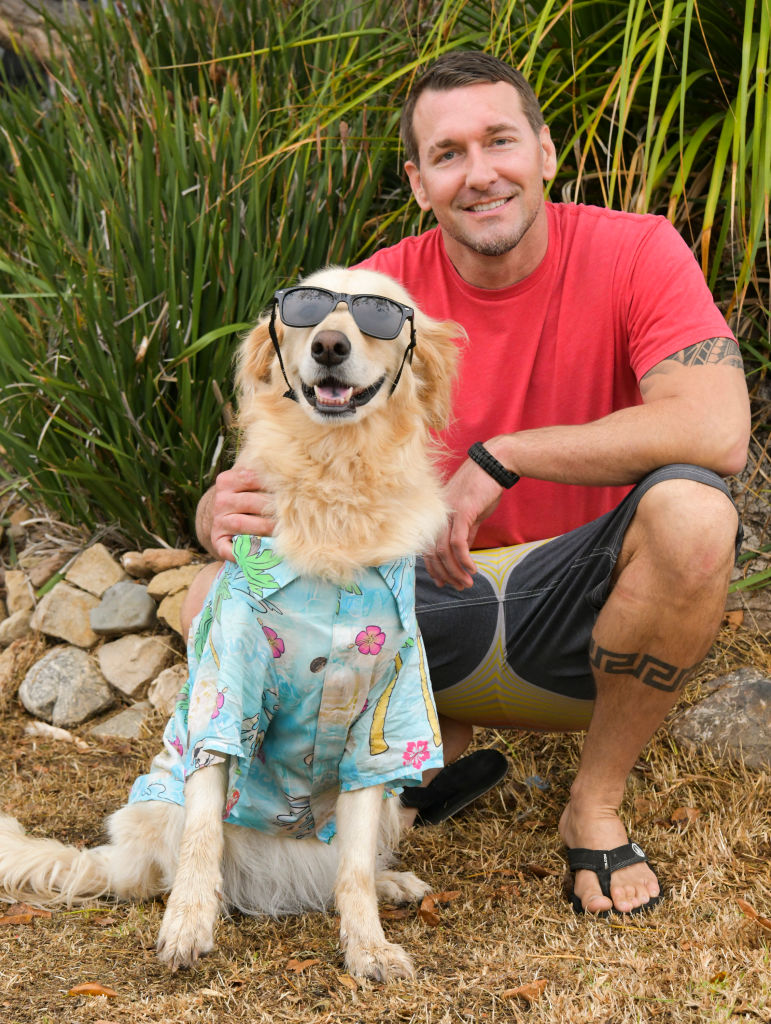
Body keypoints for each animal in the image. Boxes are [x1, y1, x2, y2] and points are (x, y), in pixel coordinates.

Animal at [0, 266, 460, 983]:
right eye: (304, 312)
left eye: (379, 316)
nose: (329, 346)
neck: (335, 480)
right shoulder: (226, 694)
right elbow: (202, 834)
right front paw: (186, 928)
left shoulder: (385, 719)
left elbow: (354, 865)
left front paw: (368, 945)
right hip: (155, 809)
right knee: (181, 863)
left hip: (386, 803)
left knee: (337, 867)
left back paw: (390, 884)